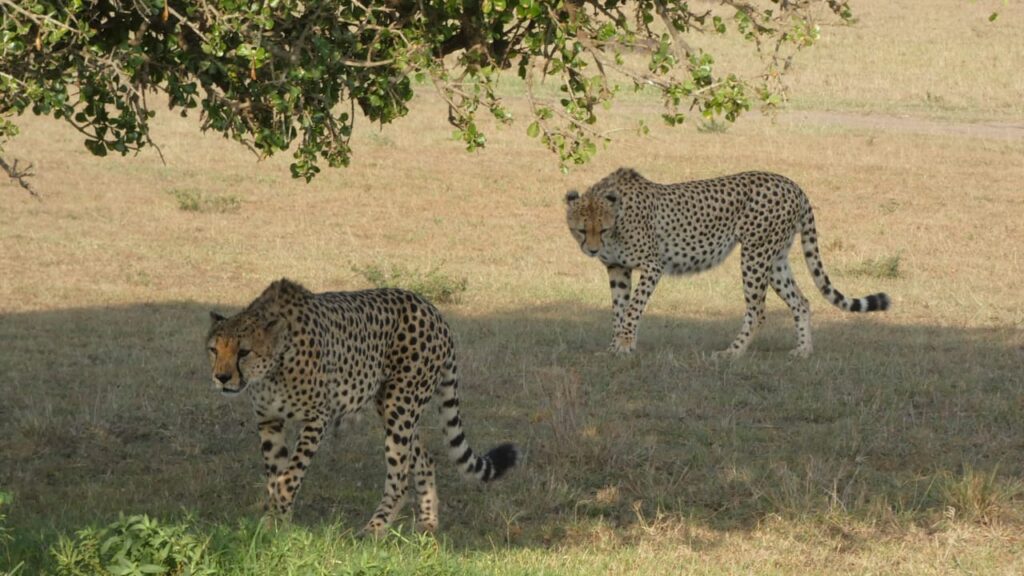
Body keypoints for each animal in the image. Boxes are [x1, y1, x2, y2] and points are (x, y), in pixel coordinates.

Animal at [206, 278, 518, 535]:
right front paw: (278, 520)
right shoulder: (269, 420)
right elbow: (277, 473)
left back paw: (375, 528)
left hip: (400, 405)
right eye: (213, 349)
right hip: (392, 406)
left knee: (399, 477)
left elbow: (289, 475)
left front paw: (274, 518)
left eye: (244, 352)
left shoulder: (317, 417)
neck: (274, 365)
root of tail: (432, 309)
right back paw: (428, 522)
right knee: (424, 458)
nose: (221, 378)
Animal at [565, 168, 891, 358]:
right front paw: (616, 345)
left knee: (758, 311)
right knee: (801, 301)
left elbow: (633, 309)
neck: (618, 217)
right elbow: (619, 309)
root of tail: (792, 184)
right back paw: (803, 350)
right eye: (581, 230)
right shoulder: (617, 268)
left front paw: (624, 345)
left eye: (601, 229)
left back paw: (732, 352)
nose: (592, 250)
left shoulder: (652, 265)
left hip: (755, 255)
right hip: (775, 259)